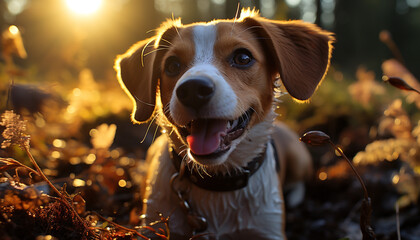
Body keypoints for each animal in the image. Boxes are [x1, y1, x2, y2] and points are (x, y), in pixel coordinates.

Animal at [116, 8, 334, 239]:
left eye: (243, 57)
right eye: (172, 65)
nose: (193, 89)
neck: (218, 180)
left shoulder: (268, 228)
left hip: (299, 157)